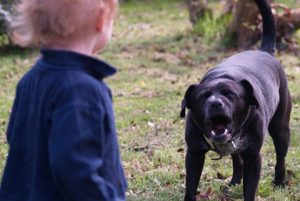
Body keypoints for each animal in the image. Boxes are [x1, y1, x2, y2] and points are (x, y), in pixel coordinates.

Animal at [179, 0, 292, 201]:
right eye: (204, 96)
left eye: (230, 94)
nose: (216, 103)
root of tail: (265, 52)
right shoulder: (194, 154)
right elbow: (191, 187)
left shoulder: (253, 157)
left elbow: (250, 190)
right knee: (236, 161)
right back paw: (233, 182)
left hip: (281, 129)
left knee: (280, 158)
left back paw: (279, 182)